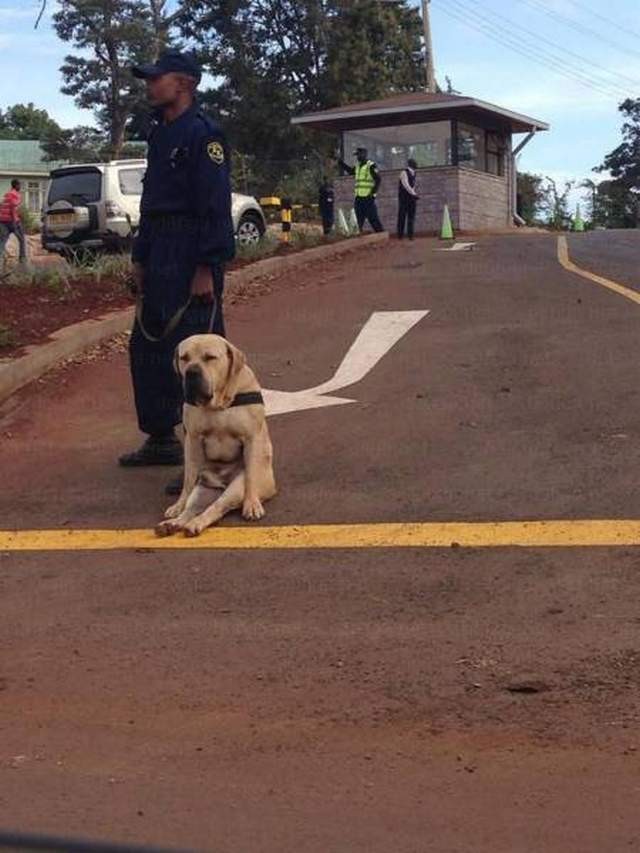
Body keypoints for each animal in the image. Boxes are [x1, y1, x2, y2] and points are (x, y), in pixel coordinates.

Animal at [156, 336, 276, 536]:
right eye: (184, 358)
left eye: (210, 357)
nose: (191, 372)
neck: (218, 403)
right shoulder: (193, 440)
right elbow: (188, 480)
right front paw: (178, 505)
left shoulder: (251, 438)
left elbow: (251, 475)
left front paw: (251, 504)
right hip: (202, 491)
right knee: (192, 509)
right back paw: (173, 523)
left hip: (235, 488)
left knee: (217, 507)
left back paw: (195, 525)